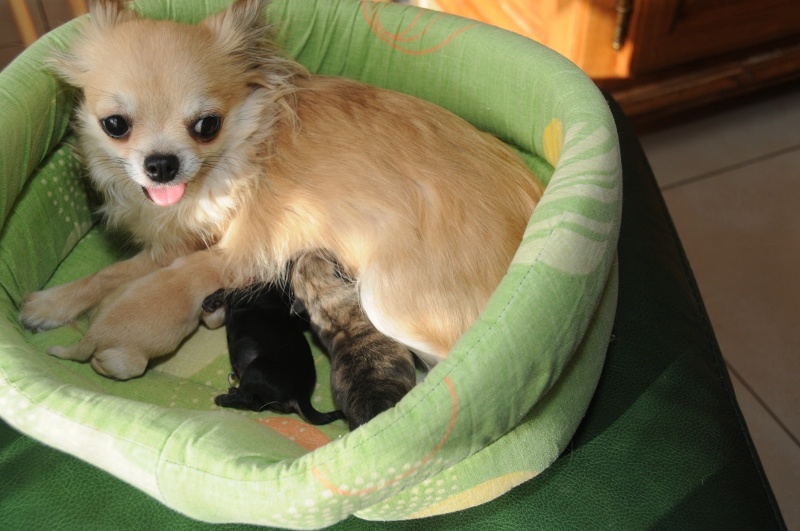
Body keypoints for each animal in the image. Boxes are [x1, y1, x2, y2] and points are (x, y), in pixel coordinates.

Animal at [200, 284, 344, 426]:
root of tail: (300, 396)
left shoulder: (243, 296)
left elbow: (229, 290)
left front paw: (211, 301)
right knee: (255, 405)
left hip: (255, 369)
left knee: (245, 398)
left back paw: (222, 399)